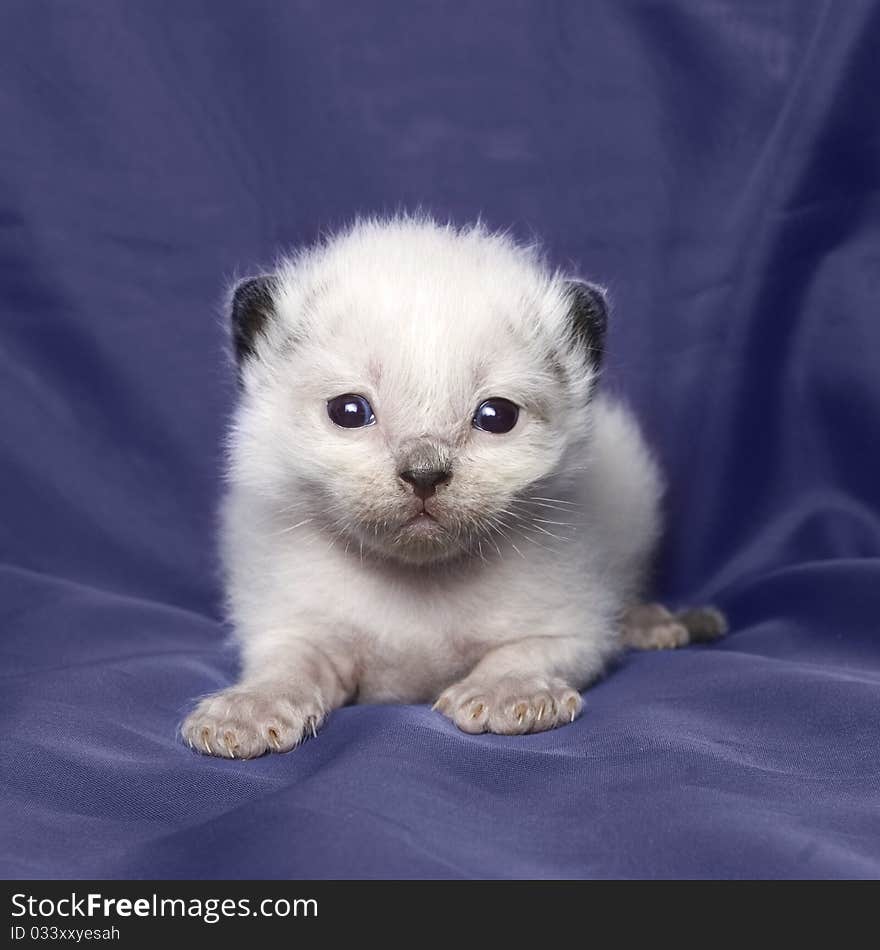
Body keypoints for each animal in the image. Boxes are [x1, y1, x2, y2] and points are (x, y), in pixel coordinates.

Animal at [179, 216, 720, 760]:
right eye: (349, 411)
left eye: (497, 416)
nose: (424, 473)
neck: (420, 580)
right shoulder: (291, 628)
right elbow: (287, 667)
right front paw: (249, 710)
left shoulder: (572, 631)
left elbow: (525, 653)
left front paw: (507, 693)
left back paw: (658, 625)